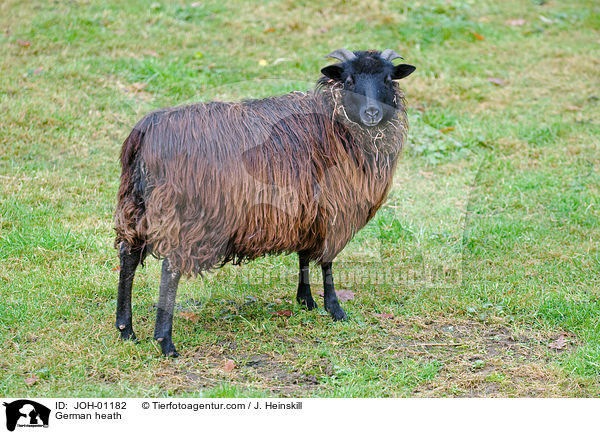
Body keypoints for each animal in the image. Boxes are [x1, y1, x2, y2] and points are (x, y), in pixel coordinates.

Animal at [113, 49, 412, 358]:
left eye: (387, 79)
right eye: (349, 80)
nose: (372, 113)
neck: (336, 121)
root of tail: (145, 133)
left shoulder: (306, 210)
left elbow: (304, 256)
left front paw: (305, 300)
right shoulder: (335, 208)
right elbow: (327, 263)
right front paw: (335, 309)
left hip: (134, 204)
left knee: (128, 255)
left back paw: (126, 329)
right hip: (184, 213)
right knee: (170, 269)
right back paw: (165, 341)